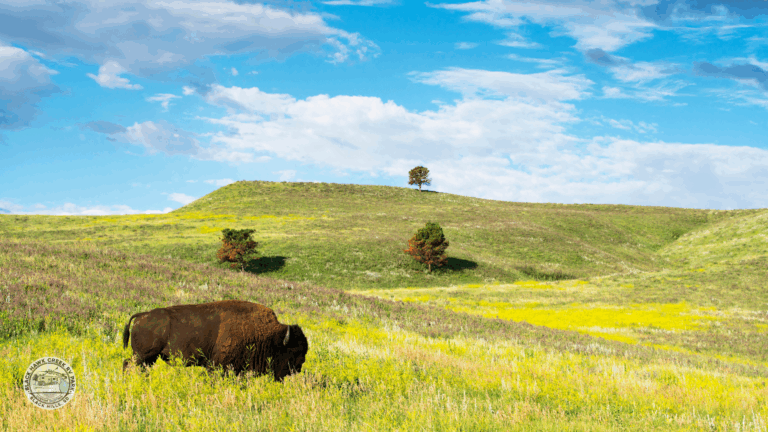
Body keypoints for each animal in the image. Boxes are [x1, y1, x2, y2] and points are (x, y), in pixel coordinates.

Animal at [122, 300, 308, 381]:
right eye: (292, 352)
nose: (298, 368)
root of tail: (142, 315)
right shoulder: (219, 364)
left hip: (149, 358)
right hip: (142, 355)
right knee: (128, 364)